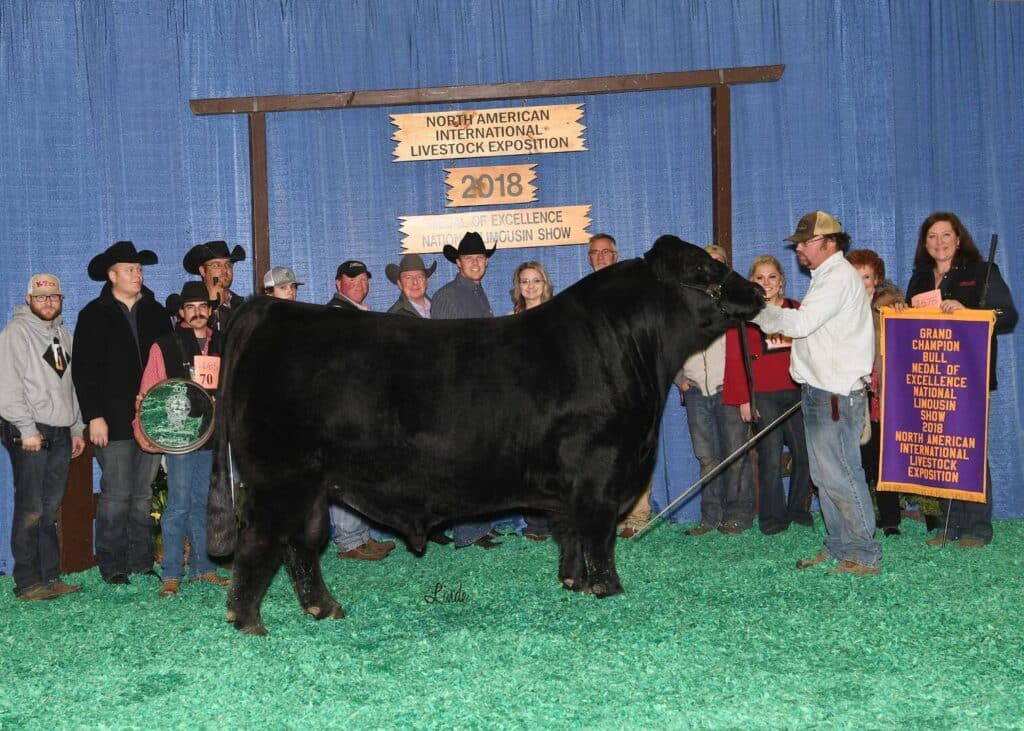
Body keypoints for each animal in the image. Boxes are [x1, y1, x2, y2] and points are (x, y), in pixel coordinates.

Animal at [207, 235, 765, 634]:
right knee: (262, 539)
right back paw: (248, 621)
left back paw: (324, 608)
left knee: (302, 543)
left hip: (311, 486)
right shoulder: (600, 472)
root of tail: (271, 309)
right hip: (280, 479)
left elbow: (568, 533)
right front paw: (608, 591)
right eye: (703, 271)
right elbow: (598, 536)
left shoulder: (567, 484)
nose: (758, 292)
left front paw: (572, 582)